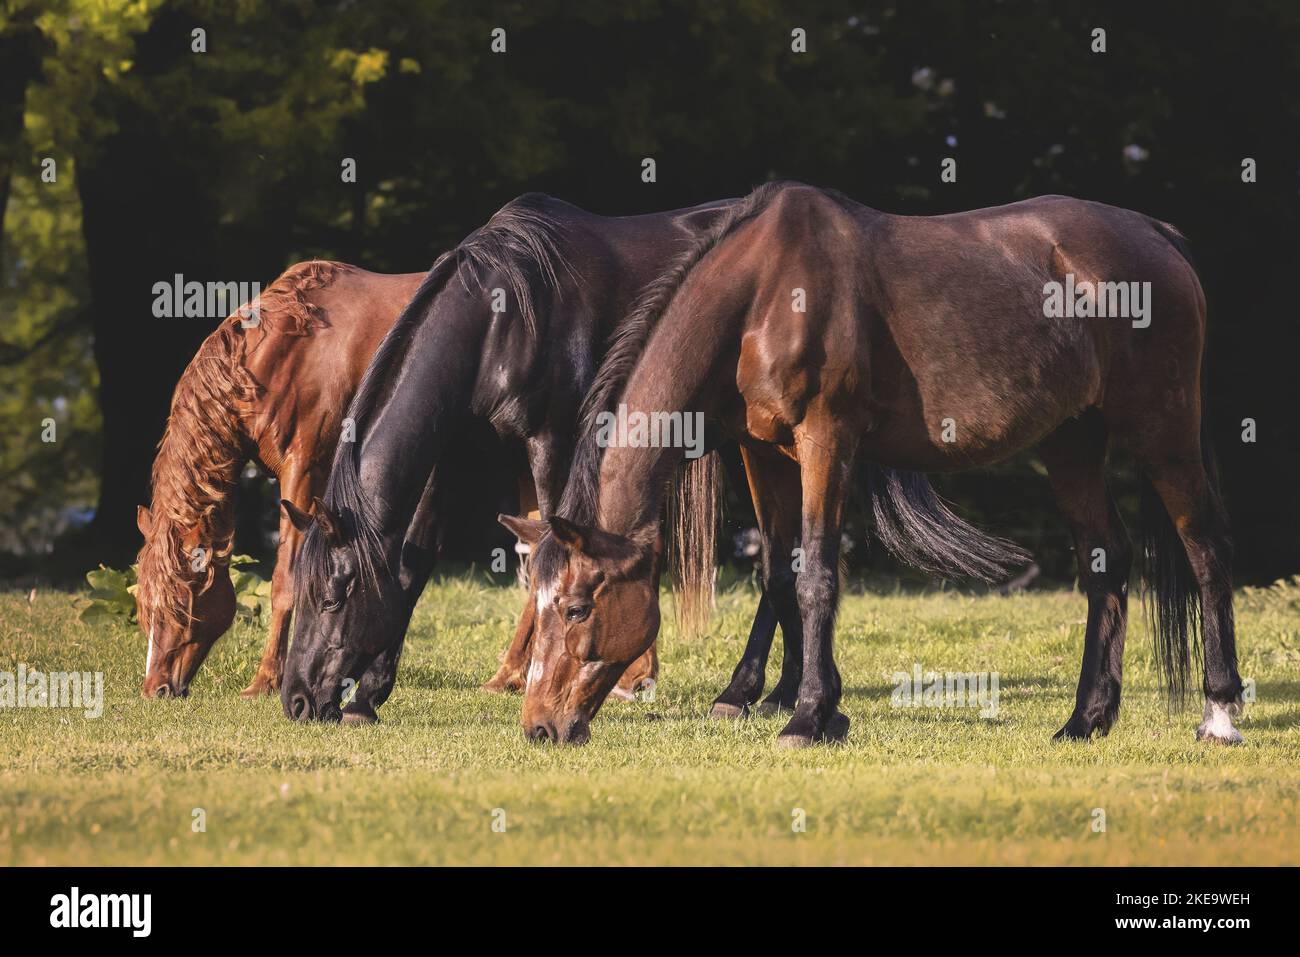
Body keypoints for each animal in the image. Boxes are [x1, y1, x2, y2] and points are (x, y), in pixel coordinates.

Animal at [135, 262, 424, 699]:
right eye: (144, 605)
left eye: (181, 600)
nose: (155, 688)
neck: (281, 354)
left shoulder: (305, 471)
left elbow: (286, 583)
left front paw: (266, 680)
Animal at [281, 194, 743, 723]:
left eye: (332, 600)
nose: (296, 699)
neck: (500, 325)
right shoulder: (451, 459)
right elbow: (414, 565)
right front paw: (367, 698)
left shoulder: (553, 443)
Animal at [501, 181, 1244, 748]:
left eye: (575, 607)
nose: (539, 726)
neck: (763, 293)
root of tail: (1156, 235)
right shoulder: (766, 454)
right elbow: (780, 570)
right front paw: (811, 703)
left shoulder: (826, 441)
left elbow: (818, 576)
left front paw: (805, 717)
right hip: (1072, 443)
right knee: (1106, 563)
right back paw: (1085, 720)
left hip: (1163, 429)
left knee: (1206, 549)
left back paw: (1219, 712)